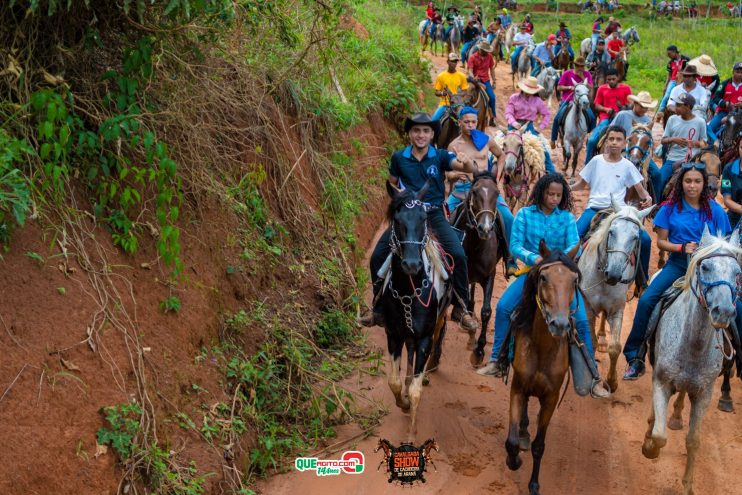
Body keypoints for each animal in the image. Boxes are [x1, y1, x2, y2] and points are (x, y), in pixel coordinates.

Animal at [378, 182, 454, 442]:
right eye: (397, 220)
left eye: (424, 218)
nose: (412, 264)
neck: (408, 292)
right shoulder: (393, 334)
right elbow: (393, 382)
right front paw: (402, 404)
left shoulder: (423, 338)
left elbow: (416, 391)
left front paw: (411, 435)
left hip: (437, 321)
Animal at [450, 172, 508, 366]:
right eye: (474, 192)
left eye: (497, 193)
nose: (486, 228)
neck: (475, 246)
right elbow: (463, 300)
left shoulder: (489, 275)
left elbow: (486, 311)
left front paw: (479, 350)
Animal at [508, 242, 584, 495]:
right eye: (542, 277)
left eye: (574, 280)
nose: (559, 324)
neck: (542, 348)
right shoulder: (517, 388)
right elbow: (511, 441)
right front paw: (514, 461)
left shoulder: (551, 398)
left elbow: (539, 446)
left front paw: (534, 484)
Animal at [580, 197, 652, 392]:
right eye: (611, 232)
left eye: (636, 237)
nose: (613, 274)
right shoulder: (589, 308)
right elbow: (591, 341)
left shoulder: (617, 310)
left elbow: (615, 347)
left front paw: (612, 383)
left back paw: (603, 336)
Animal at [644, 227, 740, 495]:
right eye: (705, 267)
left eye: (737, 272)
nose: (724, 312)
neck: (693, 345)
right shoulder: (662, 382)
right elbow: (659, 435)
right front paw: (650, 448)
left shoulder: (704, 394)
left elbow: (693, 440)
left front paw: (687, 484)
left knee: (682, 395)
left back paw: (676, 416)